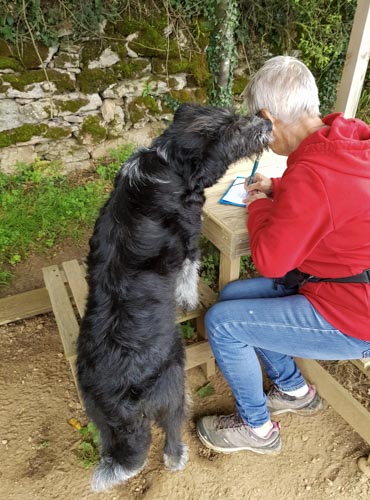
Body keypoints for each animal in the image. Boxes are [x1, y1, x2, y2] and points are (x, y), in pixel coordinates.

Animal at [77, 102, 272, 492]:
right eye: (234, 127)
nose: (268, 123)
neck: (169, 164)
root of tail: (118, 396)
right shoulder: (190, 239)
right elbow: (188, 277)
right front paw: (189, 302)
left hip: (99, 418)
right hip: (172, 386)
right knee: (168, 437)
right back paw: (178, 456)